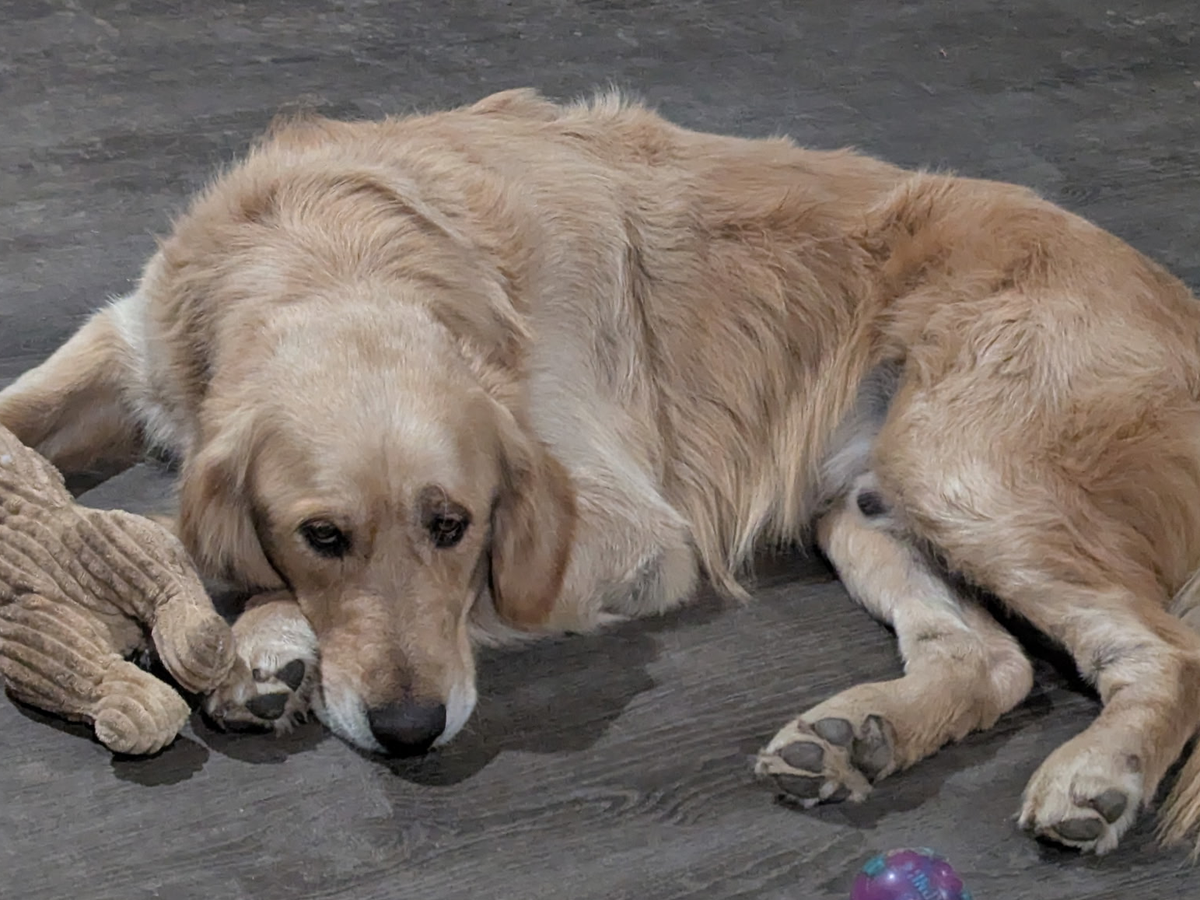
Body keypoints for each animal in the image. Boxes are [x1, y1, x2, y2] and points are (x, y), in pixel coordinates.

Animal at [5, 88, 1200, 856]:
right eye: (323, 535)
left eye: (455, 526)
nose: (409, 734)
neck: (334, 247)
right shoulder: (129, 342)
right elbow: (27, 411)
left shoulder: (628, 533)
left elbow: (235, 563)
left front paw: (265, 640)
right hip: (866, 500)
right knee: (989, 661)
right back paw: (854, 739)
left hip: (960, 467)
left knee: (1162, 651)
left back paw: (1099, 778)